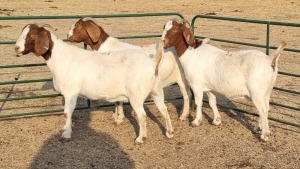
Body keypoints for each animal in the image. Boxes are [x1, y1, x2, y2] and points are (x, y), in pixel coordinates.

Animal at [14, 23, 173, 143]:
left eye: (32, 35)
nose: (16, 48)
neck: (60, 57)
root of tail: (153, 62)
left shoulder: (71, 92)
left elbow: (66, 113)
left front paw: (66, 134)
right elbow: (68, 114)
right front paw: (68, 127)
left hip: (136, 95)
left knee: (142, 115)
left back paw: (141, 138)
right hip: (156, 91)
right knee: (164, 109)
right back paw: (169, 132)